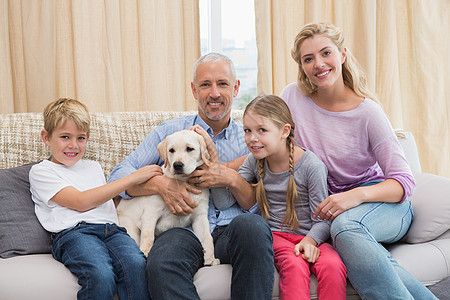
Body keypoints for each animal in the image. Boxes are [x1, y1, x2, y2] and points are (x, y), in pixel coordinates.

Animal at [118, 130, 220, 266]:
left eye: (190, 149)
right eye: (171, 150)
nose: (177, 165)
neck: (184, 182)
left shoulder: (200, 216)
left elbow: (207, 237)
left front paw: (210, 258)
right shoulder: (151, 212)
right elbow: (148, 235)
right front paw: (145, 251)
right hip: (130, 227)